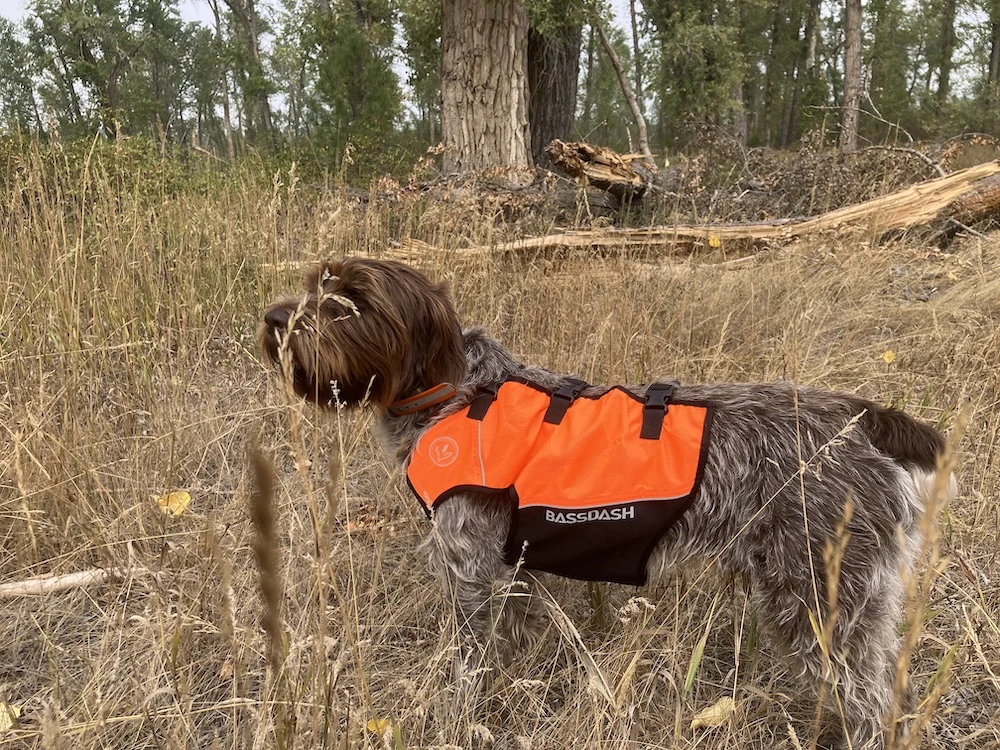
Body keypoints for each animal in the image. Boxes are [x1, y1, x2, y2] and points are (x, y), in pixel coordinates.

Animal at [260, 258, 952, 750]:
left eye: (350, 299)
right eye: (312, 286)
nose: (272, 319)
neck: (455, 395)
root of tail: (865, 421)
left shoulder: (475, 574)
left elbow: (472, 662)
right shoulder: (514, 576)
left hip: (819, 597)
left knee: (872, 701)